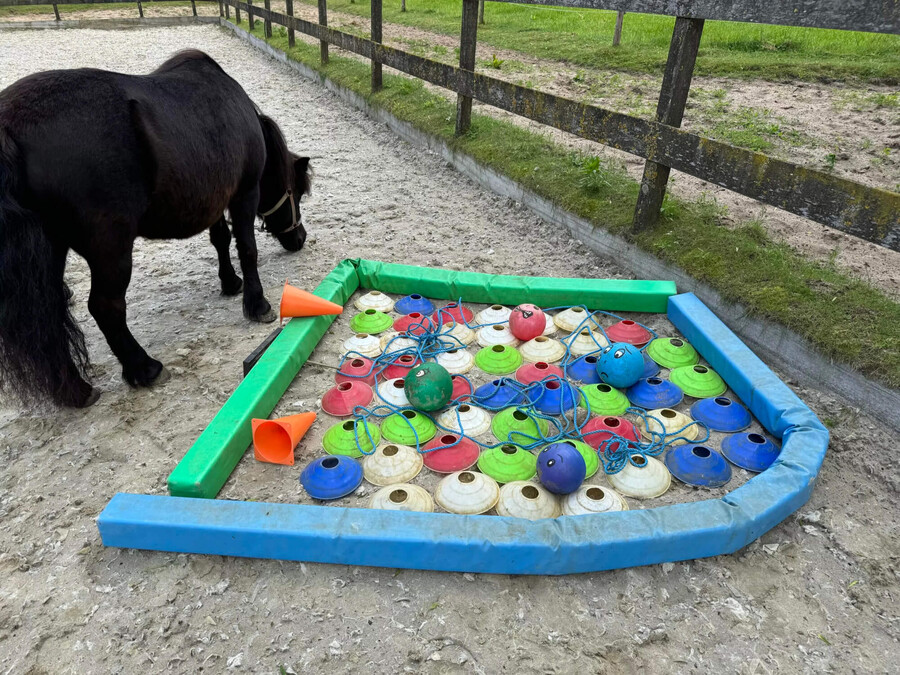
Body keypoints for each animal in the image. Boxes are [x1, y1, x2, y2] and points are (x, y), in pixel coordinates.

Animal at [0, 50, 312, 406]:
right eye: (296, 191)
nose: (300, 237)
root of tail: (9, 126)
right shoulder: (244, 193)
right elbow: (247, 249)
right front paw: (257, 304)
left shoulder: (214, 196)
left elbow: (220, 238)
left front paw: (230, 282)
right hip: (111, 247)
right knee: (105, 307)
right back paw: (144, 368)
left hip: (52, 250)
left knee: (48, 315)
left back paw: (75, 390)